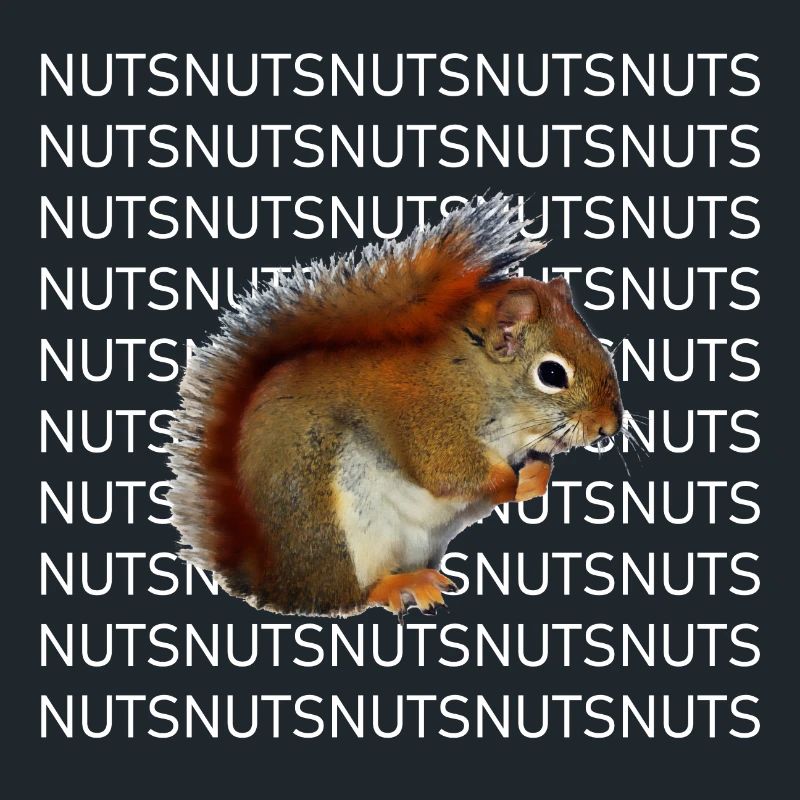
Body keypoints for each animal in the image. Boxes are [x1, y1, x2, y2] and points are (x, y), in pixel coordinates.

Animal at [168, 193, 623, 618]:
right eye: (552, 374)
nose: (609, 427)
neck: (475, 379)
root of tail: (274, 581)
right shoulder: (426, 417)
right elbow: (447, 472)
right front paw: (508, 482)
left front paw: (536, 478)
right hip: (332, 526)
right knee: (349, 593)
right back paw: (398, 585)